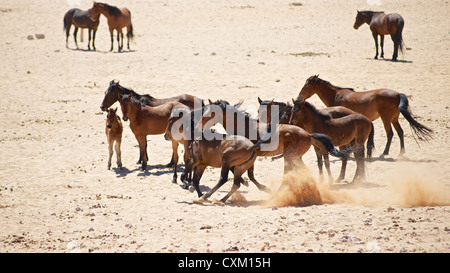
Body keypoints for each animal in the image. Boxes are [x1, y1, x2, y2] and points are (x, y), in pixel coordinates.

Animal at [196, 100, 348, 174]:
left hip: (290, 157)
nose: (198, 126)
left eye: (210, 114)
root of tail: (308, 135)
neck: (244, 126)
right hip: (295, 157)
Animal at [296, 74, 432, 156]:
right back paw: (401, 153)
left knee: (390, 134)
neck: (336, 95)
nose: (299, 98)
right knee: (400, 132)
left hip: (386, 119)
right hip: (394, 119)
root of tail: (398, 94)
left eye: (306, 86)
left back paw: (385, 153)